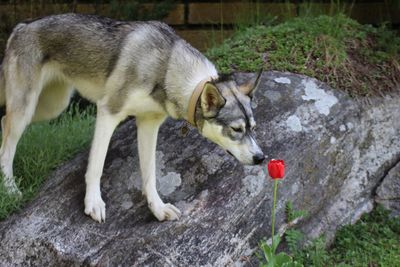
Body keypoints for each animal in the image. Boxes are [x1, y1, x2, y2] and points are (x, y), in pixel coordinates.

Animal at [0, 14, 266, 224]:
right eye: (237, 129)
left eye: (253, 128)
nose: (261, 158)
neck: (166, 67)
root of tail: (21, 26)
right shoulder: (108, 113)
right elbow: (96, 167)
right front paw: (93, 203)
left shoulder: (148, 125)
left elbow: (149, 175)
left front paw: (158, 209)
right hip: (27, 109)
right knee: (7, 144)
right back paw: (11, 189)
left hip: (51, 108)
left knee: (3, 124)